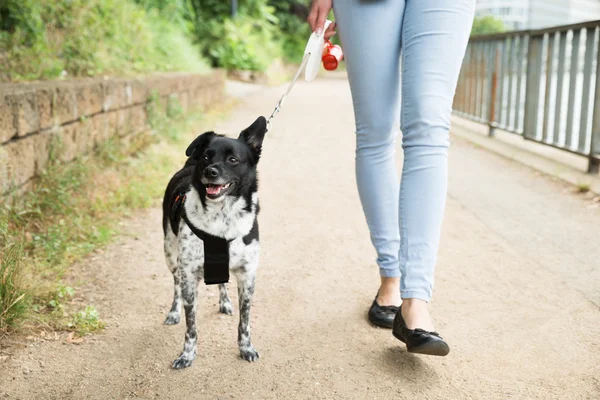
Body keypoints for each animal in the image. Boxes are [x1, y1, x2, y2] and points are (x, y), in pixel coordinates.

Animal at [163, 115, 268, 368]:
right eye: (206, 157)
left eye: (233, 159)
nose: (210, 171)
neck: (222, 217)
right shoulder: (189, 276)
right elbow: (191, 325)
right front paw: (187, 355)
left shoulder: (247, 275)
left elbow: (244, 321)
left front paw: (246, 348)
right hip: (170, 253)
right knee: (175, 284)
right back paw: (174, 312)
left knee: (222, 281)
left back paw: (225, 302)